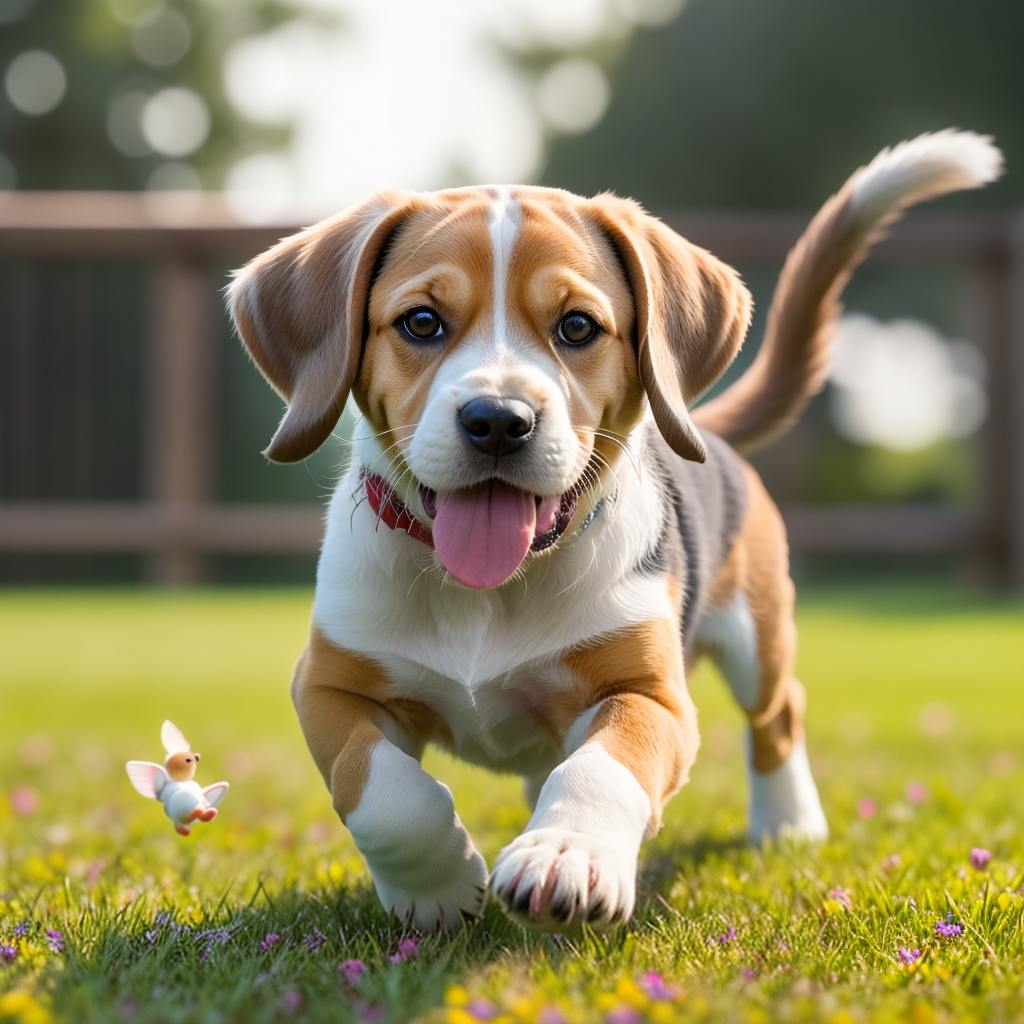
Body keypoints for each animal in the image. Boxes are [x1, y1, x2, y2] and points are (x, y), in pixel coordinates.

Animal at [230, 132, 999, 933]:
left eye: (577, 327)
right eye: (420, 322)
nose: (498, 420)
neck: (494, 591)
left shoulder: (651, 694)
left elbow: (600, 766)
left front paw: (566, 855)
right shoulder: (329, 686)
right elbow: (382, 789)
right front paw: (434, 885)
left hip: (758, 636)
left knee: (779, 710)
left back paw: (788, 823)